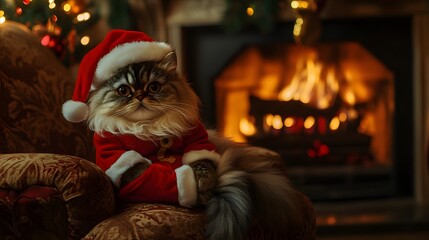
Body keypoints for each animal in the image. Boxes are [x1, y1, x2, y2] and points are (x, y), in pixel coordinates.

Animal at [86, 50, 300, 238]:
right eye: (123, 91)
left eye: (154, 87)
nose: (140, 96)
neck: (148, 127)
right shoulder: (114, 154)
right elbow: (146, 171)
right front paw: (197, 192)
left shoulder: (198, 141)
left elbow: (202, 164)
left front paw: (204, 183)